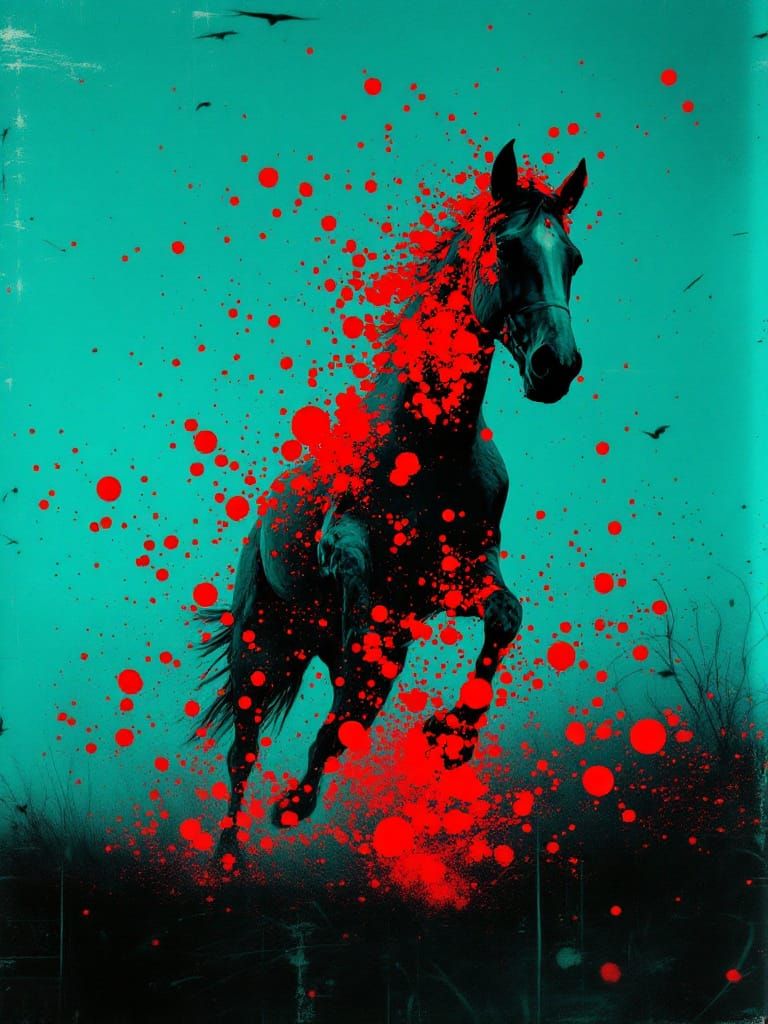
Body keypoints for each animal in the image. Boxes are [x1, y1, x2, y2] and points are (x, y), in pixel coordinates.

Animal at [197, 139, 588, 853]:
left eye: (571, 259)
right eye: (506, 249)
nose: (556, 366)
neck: (430, 447)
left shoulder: (459, 574)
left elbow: (505, 616)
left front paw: (450, 740)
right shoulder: (349, 551)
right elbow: (359, 626)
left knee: (357, 694)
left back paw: (296, 801)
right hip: (260, 646)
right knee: (245, 750)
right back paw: (235, 853)